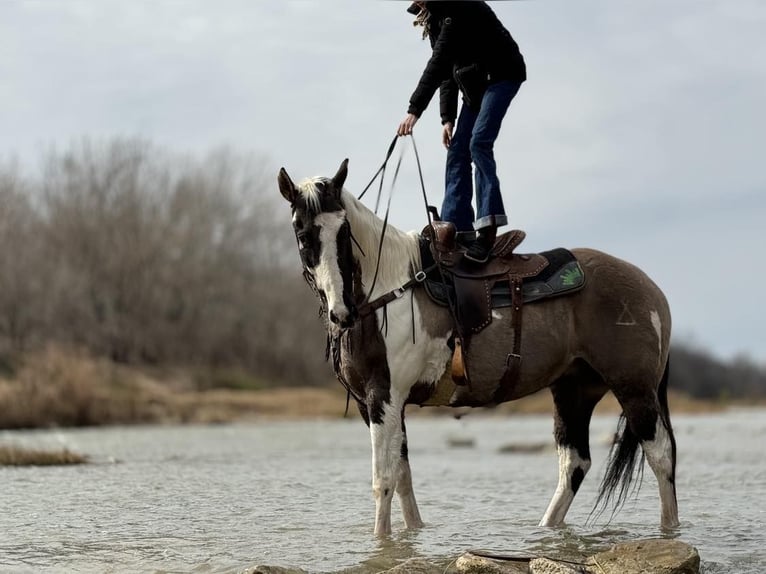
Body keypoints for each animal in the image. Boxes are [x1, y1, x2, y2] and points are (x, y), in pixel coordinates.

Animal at [280, 159, 680, 540]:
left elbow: (385, 481)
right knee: (575, 464)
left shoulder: (385, 397)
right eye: (302, 235)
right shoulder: (374, 404)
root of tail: (651, 289)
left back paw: (669, 531)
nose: (341, 312)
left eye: (344, 231)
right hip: (575, 389)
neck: (388, 292)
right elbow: (404, 479)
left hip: (634, 389)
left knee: (660, 455)